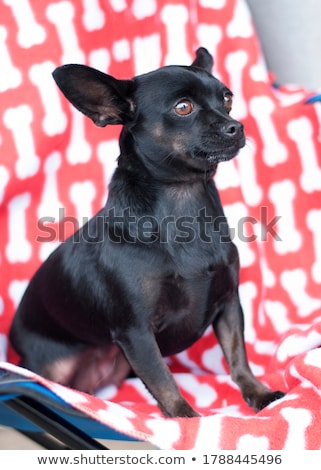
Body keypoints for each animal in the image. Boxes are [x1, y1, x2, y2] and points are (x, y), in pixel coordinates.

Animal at [10, 46, 282, 414]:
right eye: (183, 107)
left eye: (227, 99)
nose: (236, 127)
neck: (183, 200)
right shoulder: (136, 333)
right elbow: (164, 382)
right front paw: (187, 421)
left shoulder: (228, 305)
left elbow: (238, 357)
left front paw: (259, 394)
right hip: (52, 368)